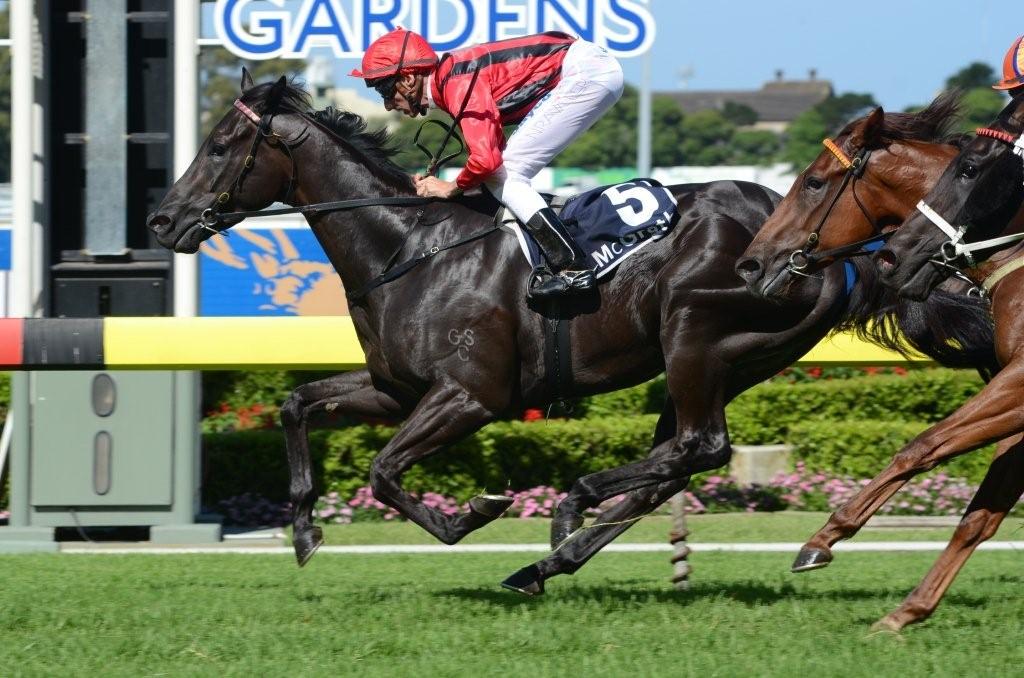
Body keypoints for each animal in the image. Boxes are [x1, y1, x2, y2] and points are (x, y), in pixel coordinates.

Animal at [148, 74, 993, 595]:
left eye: (219, 145)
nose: (162, 219)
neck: (407, 249)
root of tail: (834, 251)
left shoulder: (470, 397)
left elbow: (386, 473)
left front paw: (473, 512)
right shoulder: (396, 389)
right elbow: (295, 405)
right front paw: (301, 528)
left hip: (694, 327)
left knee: (699, 447)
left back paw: (566, 510)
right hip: (721, 360)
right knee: (676, 460)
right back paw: (549, 560)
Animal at [735, 92, 1022, 630]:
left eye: (813, 181)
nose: (750, 264)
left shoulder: (1017, 383)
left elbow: (922, 445)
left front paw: (823, 538)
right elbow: (978, 515)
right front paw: (908, 610)